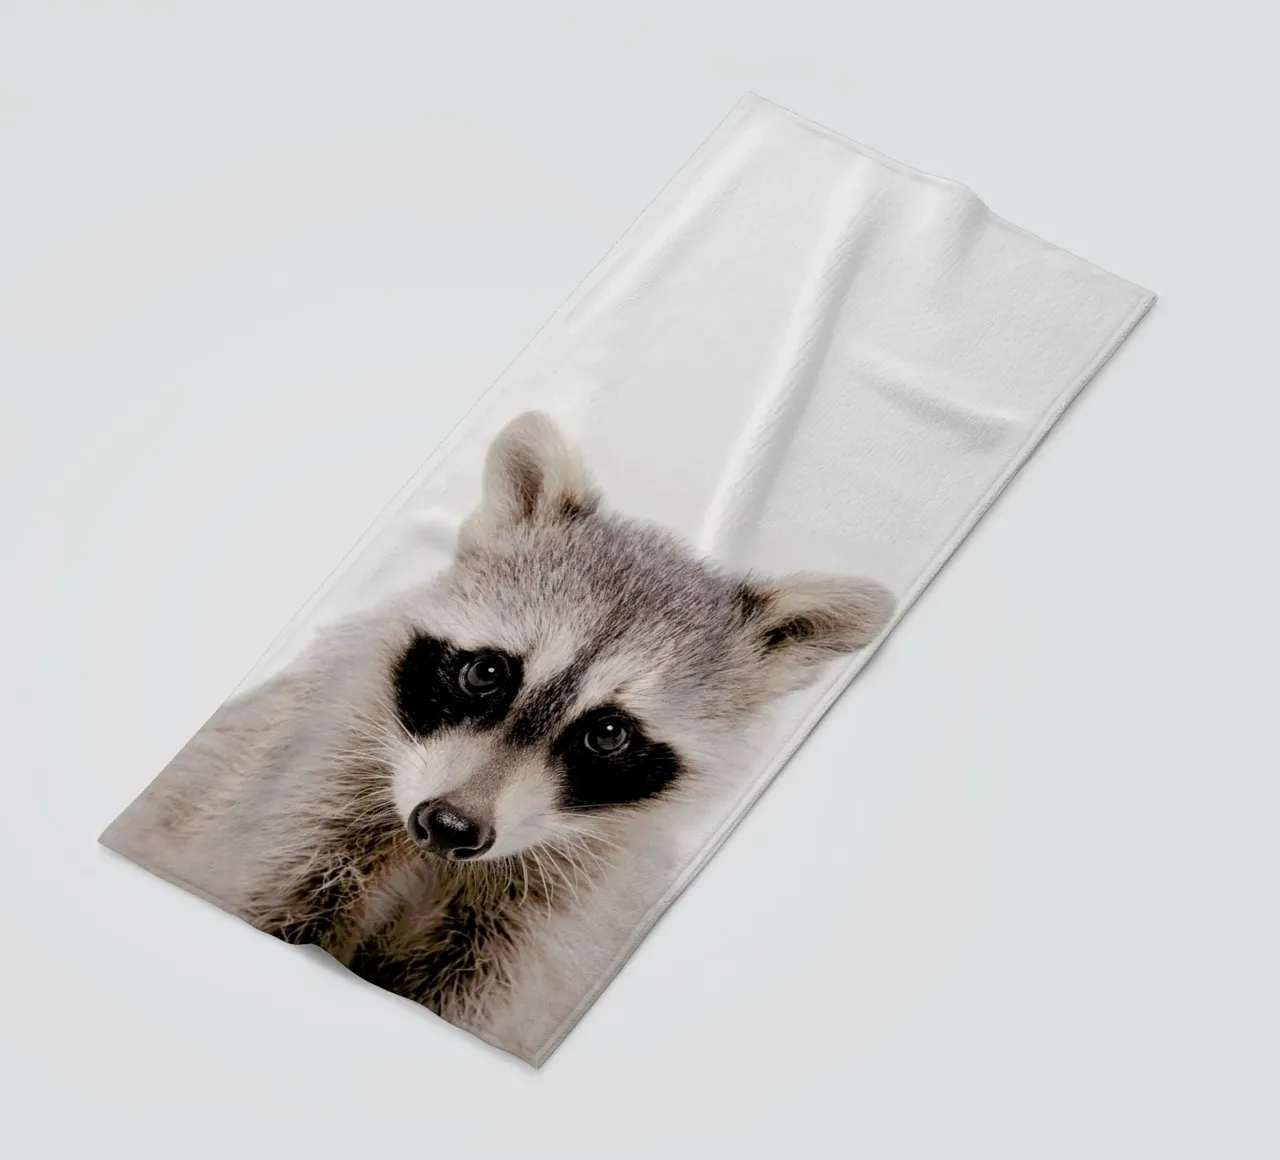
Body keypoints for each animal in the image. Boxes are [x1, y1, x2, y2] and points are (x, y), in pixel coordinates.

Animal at [101, 411, 895, 1056]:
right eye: (487, 671)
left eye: (608, 734)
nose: (450, 825)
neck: (438, 865)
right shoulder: (305, 787)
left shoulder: (554, 927)